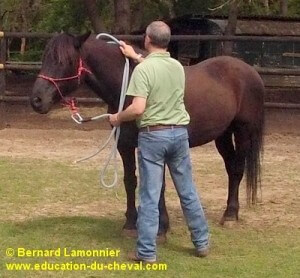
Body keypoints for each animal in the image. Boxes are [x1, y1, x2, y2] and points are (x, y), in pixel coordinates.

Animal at [29, 32, 264, 237]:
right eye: (45, 58)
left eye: (65, 61)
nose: (37, 100)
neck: (128, 86)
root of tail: (250, 71)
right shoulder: (124, 144)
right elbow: (130, 181)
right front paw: (130, 224)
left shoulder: (152, 145)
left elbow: (157, 185)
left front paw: (162, 227)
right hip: (222, 136)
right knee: (230, 168)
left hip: (242, 132)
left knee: (237, 169)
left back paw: (231, 215)